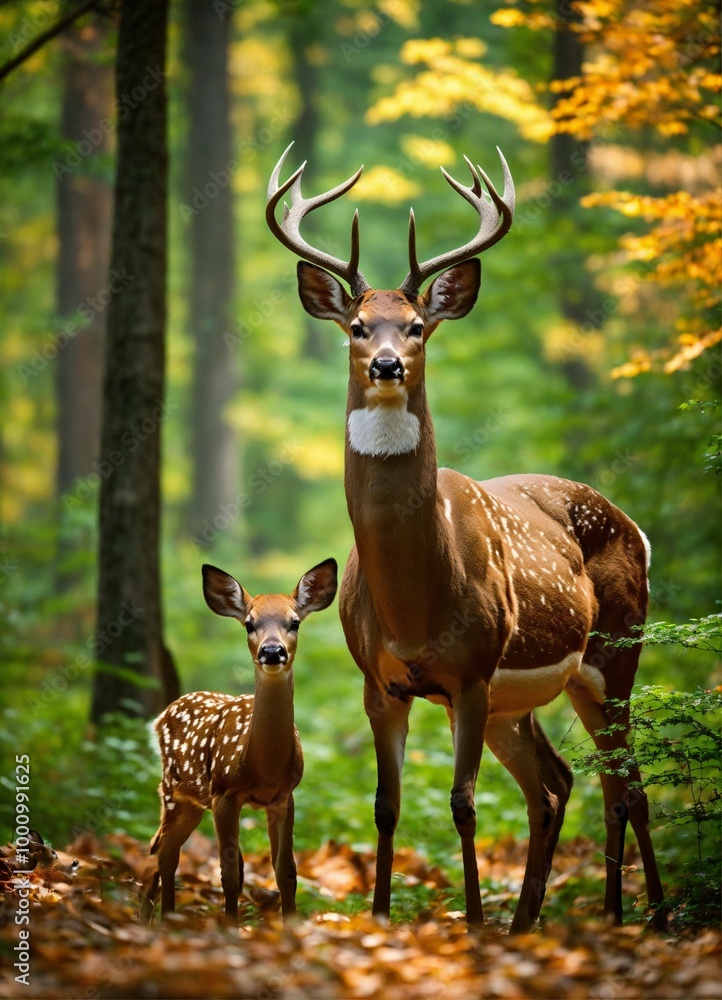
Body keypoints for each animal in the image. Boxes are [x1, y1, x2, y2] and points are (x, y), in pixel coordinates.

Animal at [140, 558, 338, 924]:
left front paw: (290, 926)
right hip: (173, 791)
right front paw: (230, 927)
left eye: (295, 622)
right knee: (164, 851)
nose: (272, 651)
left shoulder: (284, 796)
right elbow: (230, 873)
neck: (264, 769)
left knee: (163, 847)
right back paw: (160, 920)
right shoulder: (224, 793)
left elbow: (285, 871)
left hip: (192, 802)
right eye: (249, 623)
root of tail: (161, 716)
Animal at [266, 143, 666, 932]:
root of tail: (634, 526)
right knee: (562, 783)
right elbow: (386, 807)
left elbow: (461, 803)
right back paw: (536, 919)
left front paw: (474, 921)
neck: (417, 604)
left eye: (418, 325)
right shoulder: (380, 680)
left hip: (615, 651)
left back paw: (643, 917)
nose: (387, 364)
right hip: (534, 696)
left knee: (627, 787)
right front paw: (383, 915)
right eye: (358, 326)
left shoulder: (474, 673)